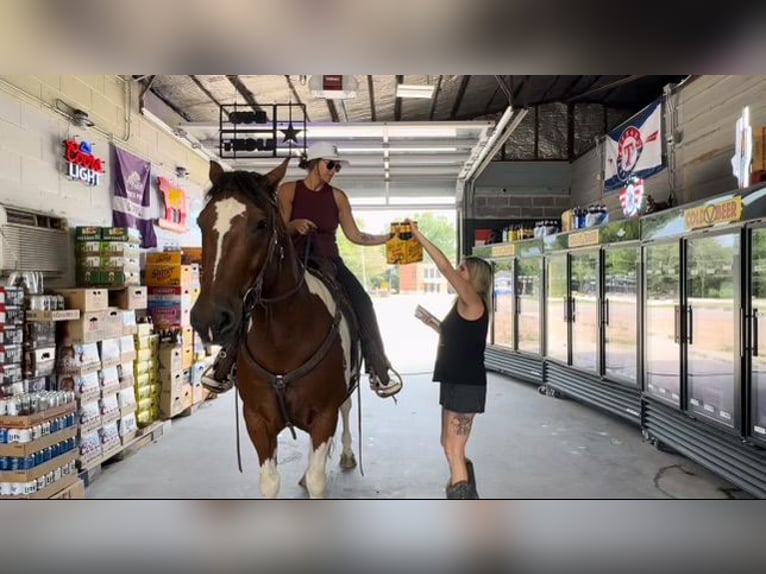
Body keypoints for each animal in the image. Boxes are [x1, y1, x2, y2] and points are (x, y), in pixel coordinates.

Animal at [190, 159, 362, 500]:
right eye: (202, 222)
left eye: (261, 224)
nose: (210, 319)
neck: (282, 336)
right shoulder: (257, 419)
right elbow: (270, 483)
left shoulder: (324, 415)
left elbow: (318, 480)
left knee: (347, 408)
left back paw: (348, 455)